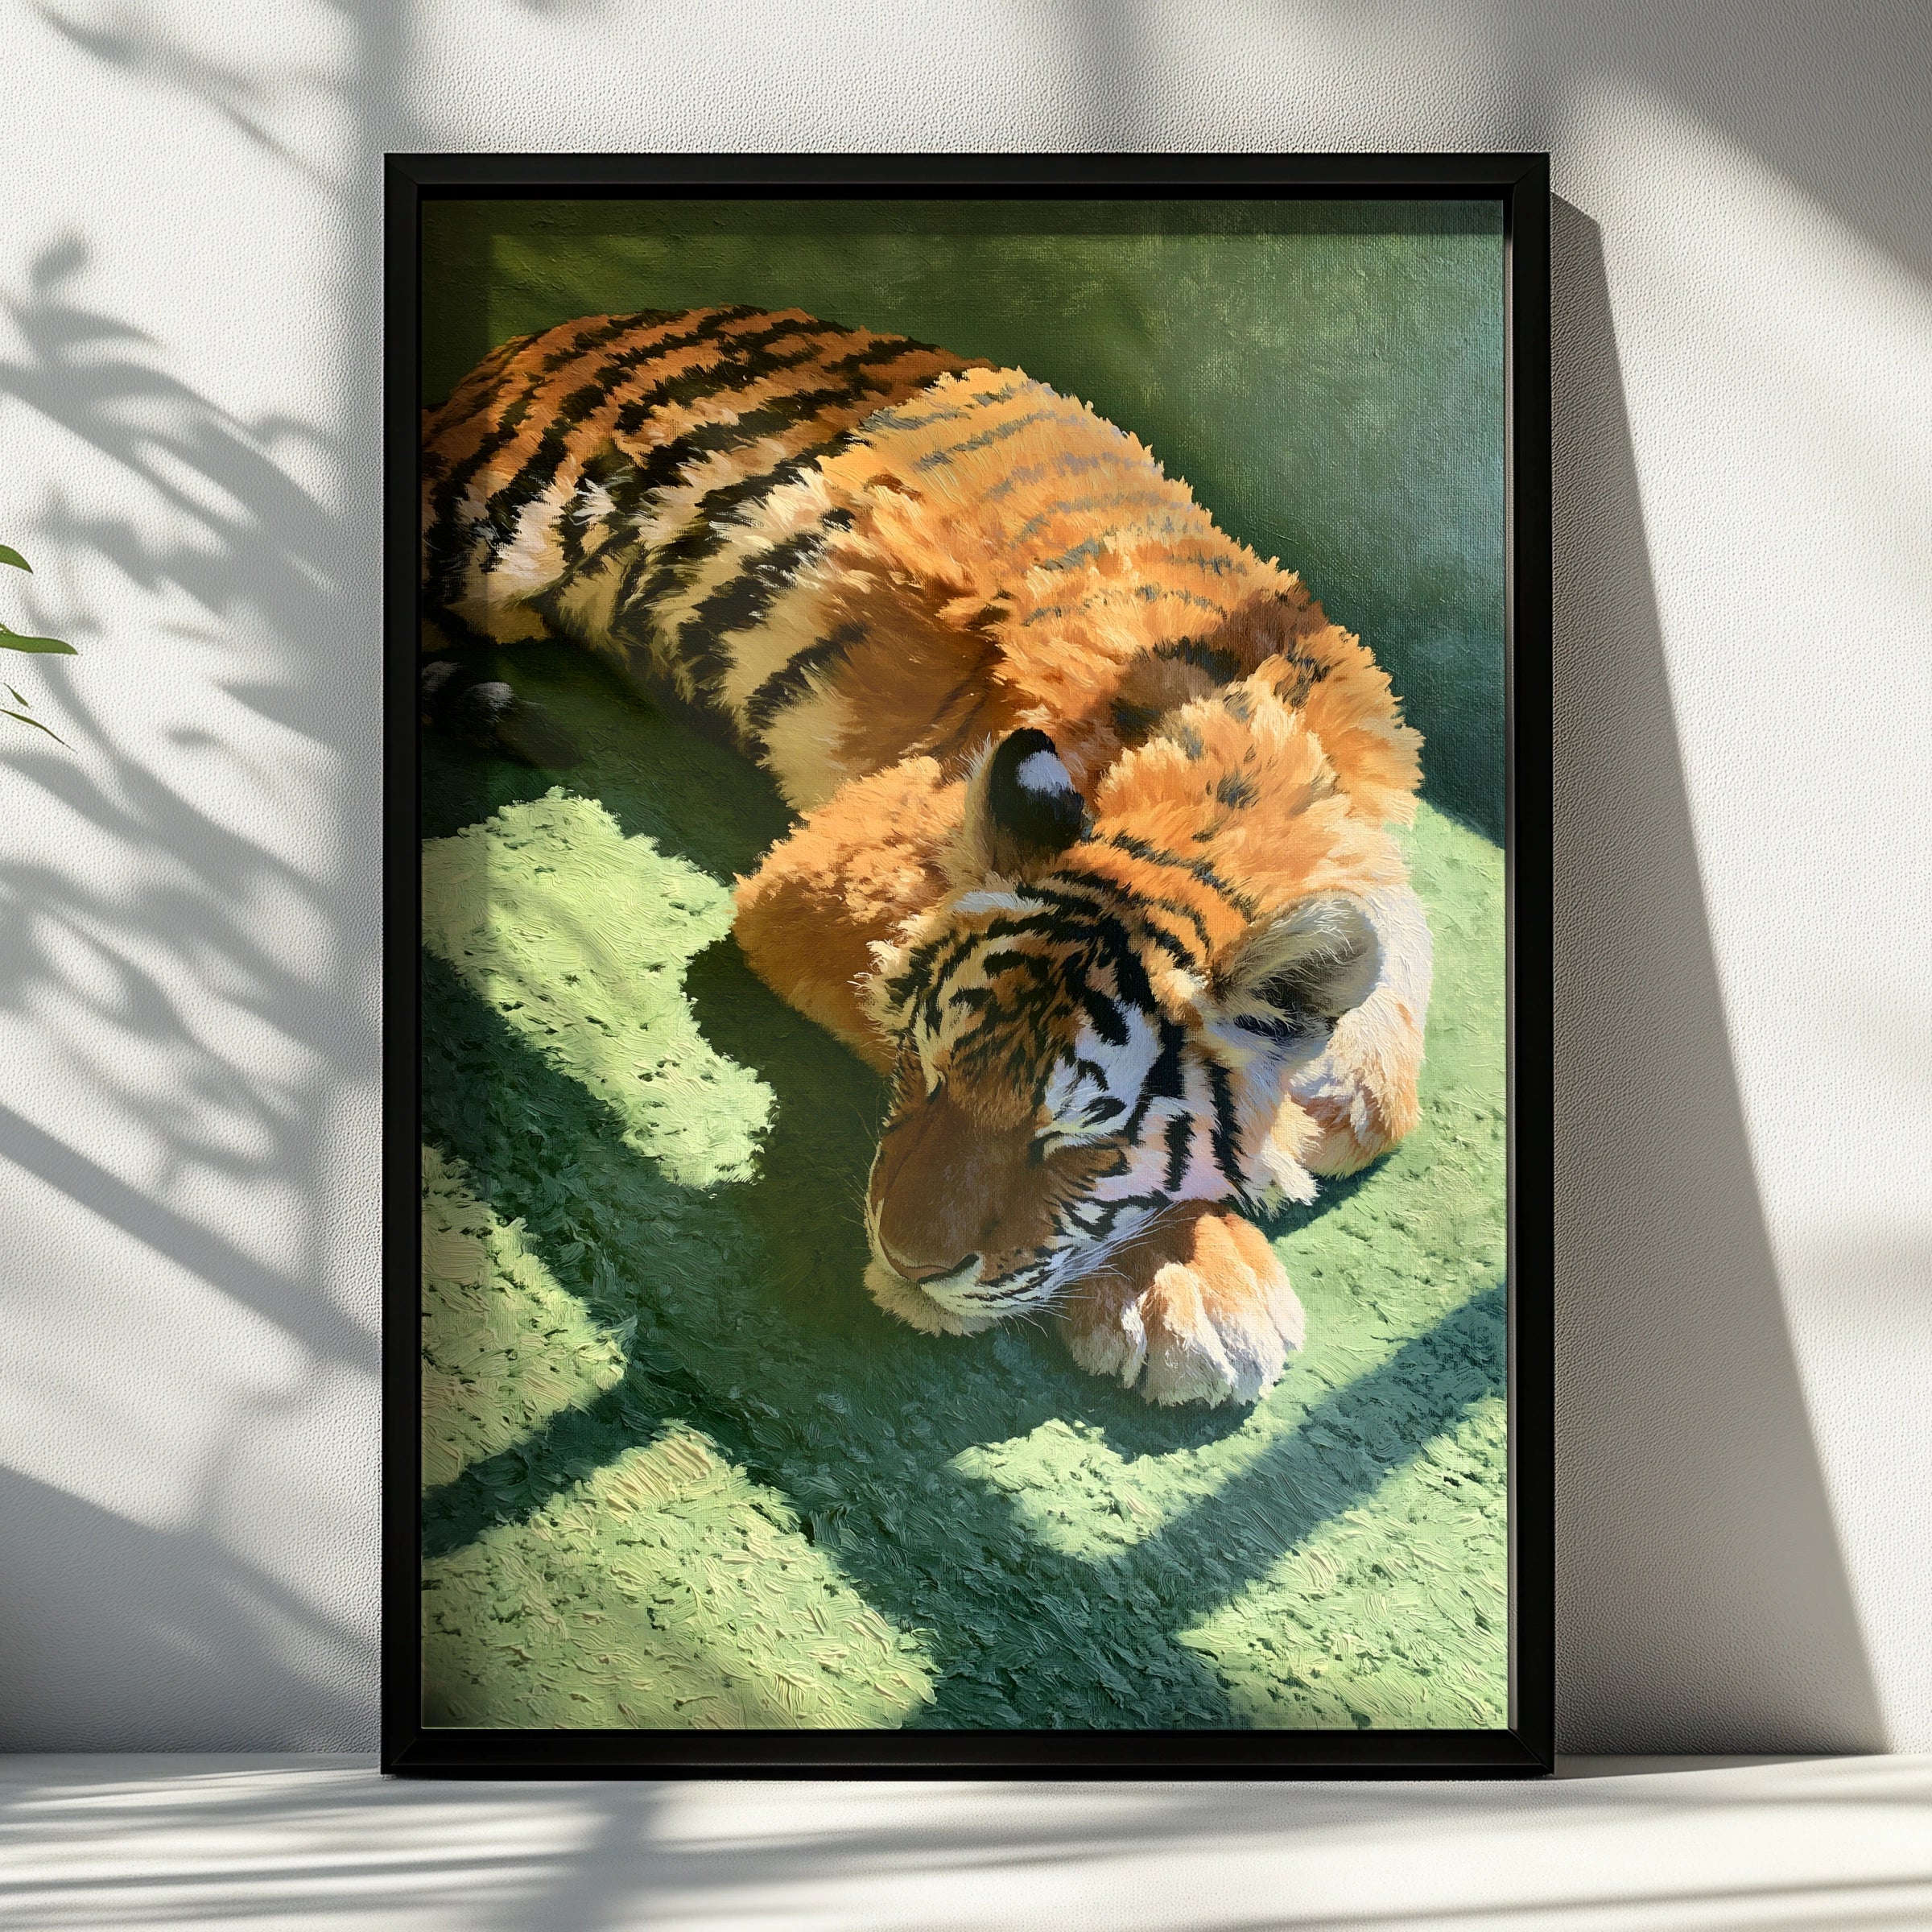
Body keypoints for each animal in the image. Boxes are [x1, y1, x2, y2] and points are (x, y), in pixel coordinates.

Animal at [420, 303, 1432, 1407]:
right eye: (925, 1071)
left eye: (1079, 1146)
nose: (908, 1266)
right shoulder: (823, 877)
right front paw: (1199, 1280)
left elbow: (1380, 1077)